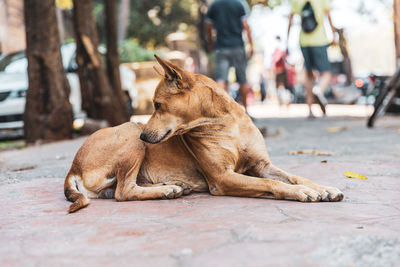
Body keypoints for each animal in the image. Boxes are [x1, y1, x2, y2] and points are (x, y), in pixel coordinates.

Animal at [64, 56, 342, 214]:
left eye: (157, 105)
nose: (145, 136)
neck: (226, 124)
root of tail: (73, 166)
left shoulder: (263, 165)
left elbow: (295, 177)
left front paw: (322, 188)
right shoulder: (222, 177)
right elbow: (272, 184)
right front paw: (302, 193)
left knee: (121, 189)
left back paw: (171, 186)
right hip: (130, 132)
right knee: (123, 192)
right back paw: (167, 190)